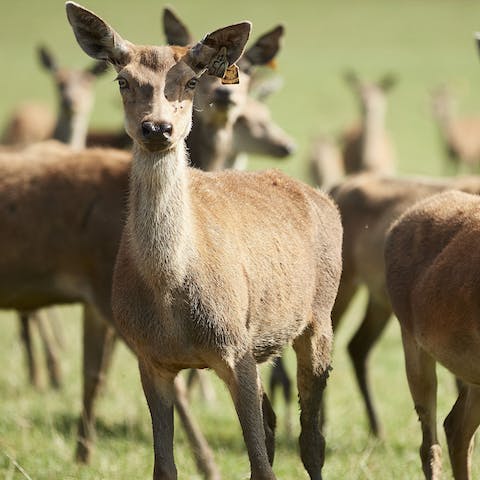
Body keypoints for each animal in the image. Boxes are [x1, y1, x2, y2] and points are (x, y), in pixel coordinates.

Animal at [67, 1, 344, 478]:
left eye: (191, 81)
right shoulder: (150, 357)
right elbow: (165, 466)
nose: (157, 128)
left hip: (318, 316)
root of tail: (324, 199)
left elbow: (262, 466)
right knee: (273, 423)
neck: (170, 290)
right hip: (263, 343)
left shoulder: (234, 347)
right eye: (122, 80)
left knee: (311, 438)